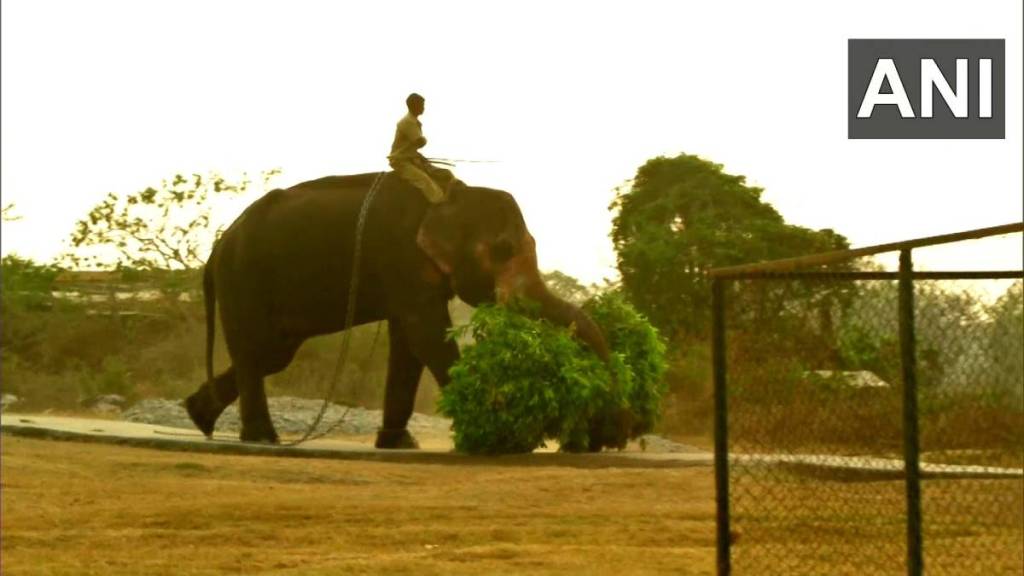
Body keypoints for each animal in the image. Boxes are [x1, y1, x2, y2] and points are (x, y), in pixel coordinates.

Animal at [184, 172, 606, 446]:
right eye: (503, 249)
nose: (598, 436)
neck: (450, 194)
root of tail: (217, 249)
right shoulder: (401, 254)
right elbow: (427, 334)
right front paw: (497, 438)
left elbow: (409, 343)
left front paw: (399, 443)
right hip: (243, 277)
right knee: (255, 350)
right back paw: (261, 438)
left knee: (271, 354)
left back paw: (199, 416)